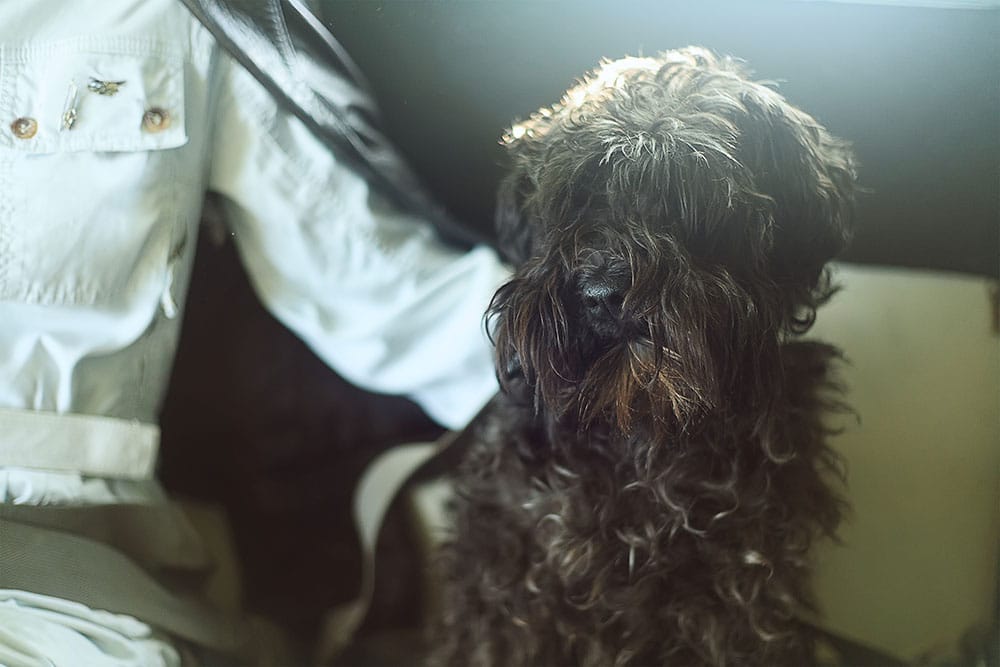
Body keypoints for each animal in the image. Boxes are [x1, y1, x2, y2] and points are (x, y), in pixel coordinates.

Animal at [434, 48, 856, 667]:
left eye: (689, 198)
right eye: (574, 201)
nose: (603, 292)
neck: (642, 428)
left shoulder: (736, 601)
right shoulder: (513, 594)